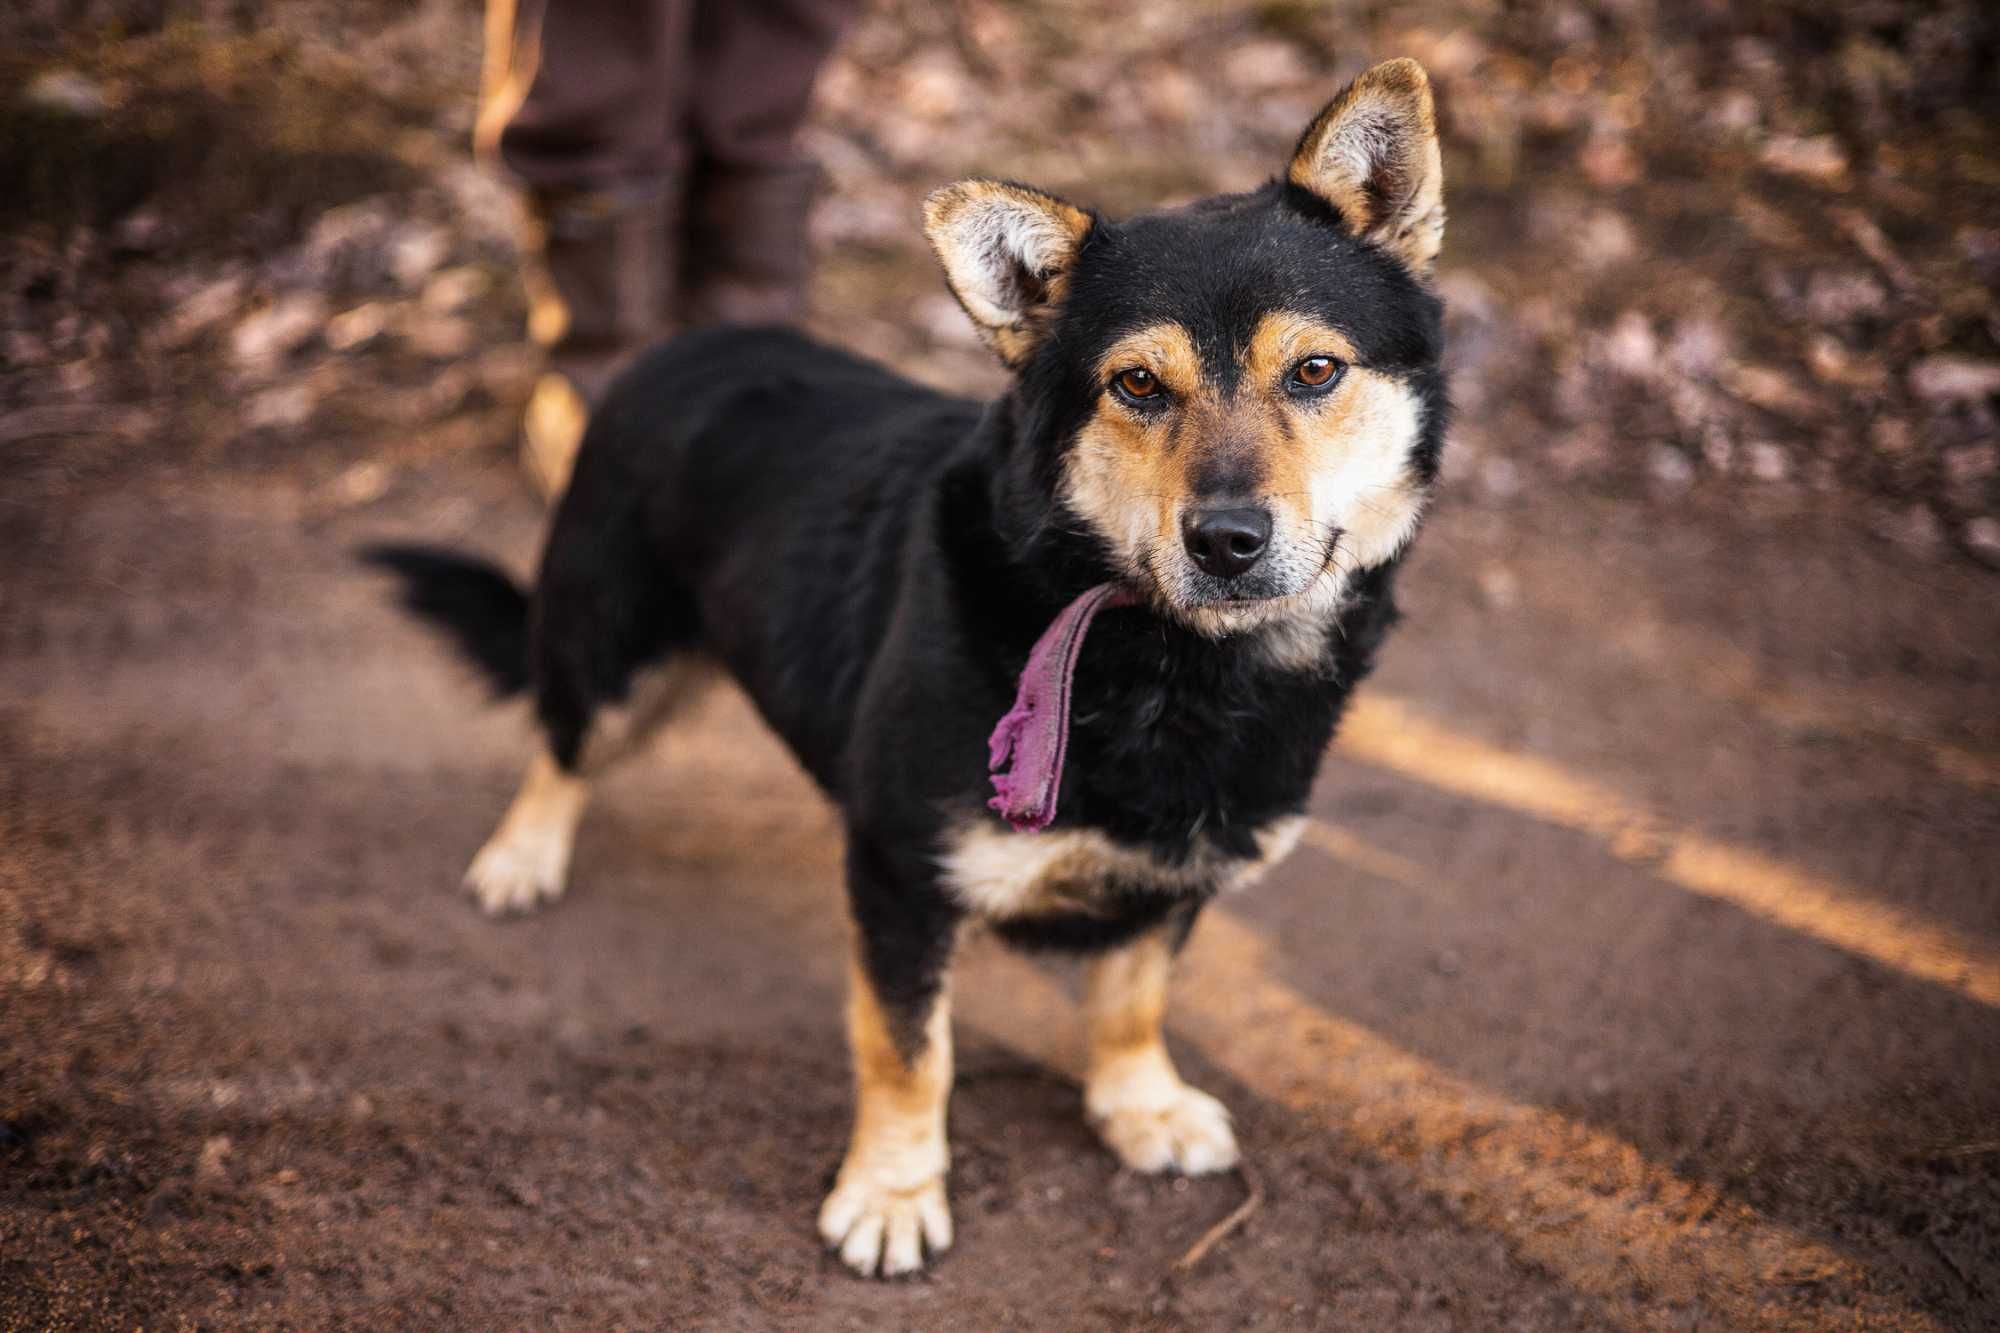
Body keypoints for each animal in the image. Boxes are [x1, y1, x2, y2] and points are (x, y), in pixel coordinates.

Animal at [372, 57, 1440, 1272]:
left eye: (1314, 370)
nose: (1225, 541)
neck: (1172, 660)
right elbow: (908, 1049)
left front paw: (1139, 1105)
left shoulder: (1182, 865)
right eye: (1135, 386)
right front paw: (890, 1190)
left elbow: (1132, 996)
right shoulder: (899, 870)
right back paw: (522, 854)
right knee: (560, 741)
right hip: (611, 648)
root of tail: (692, 340)